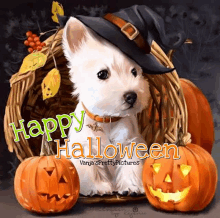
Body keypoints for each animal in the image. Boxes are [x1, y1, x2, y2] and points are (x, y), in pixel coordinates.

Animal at [62, 17, 150, 197]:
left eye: (134, 72)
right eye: (102, 74)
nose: (132, 96)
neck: (108, 119)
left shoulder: (131, 143)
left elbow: (130, 167)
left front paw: (131, 187)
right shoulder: (84, 147)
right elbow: (91, 169)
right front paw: (97, 188)